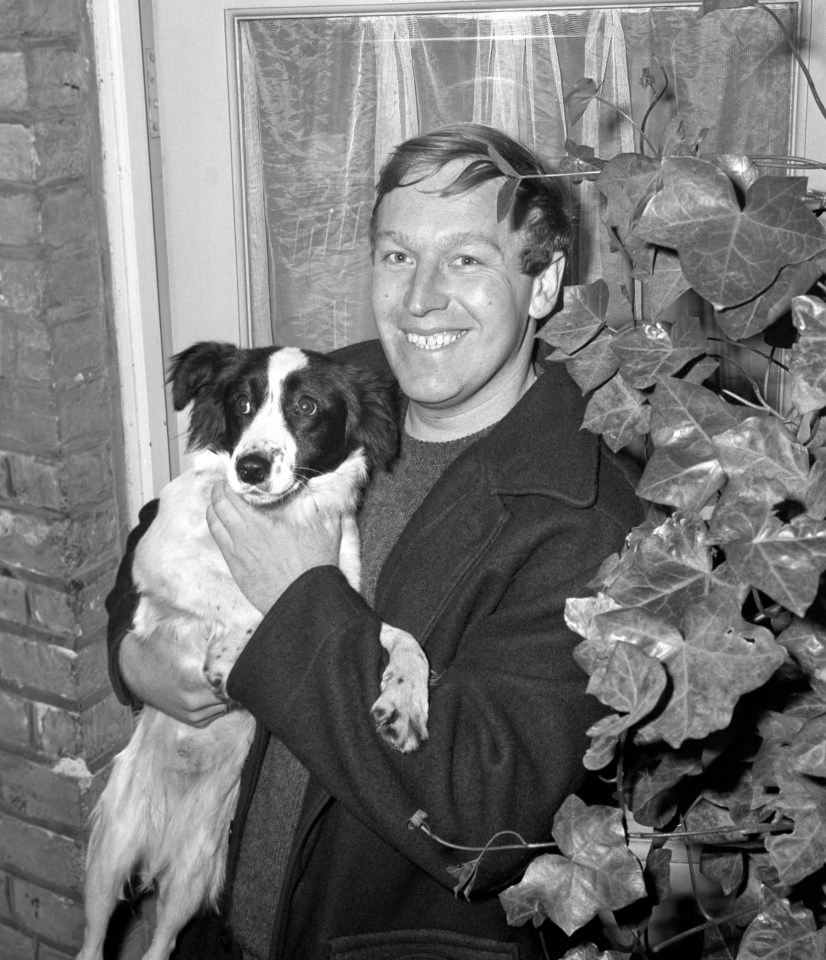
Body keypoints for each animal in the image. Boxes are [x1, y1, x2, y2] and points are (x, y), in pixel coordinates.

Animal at [75, 344, 432, 960]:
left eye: (307, 406)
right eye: (240, 402)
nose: (251, 468)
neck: (277, 517)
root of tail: (162, 832)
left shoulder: (335, 595)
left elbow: (400, 637)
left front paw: (406, 703)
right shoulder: (158, 557)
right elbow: (245, 601)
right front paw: (228, 653)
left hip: (192, 877)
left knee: (160, 944)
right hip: (109, 855)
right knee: (93, 942)